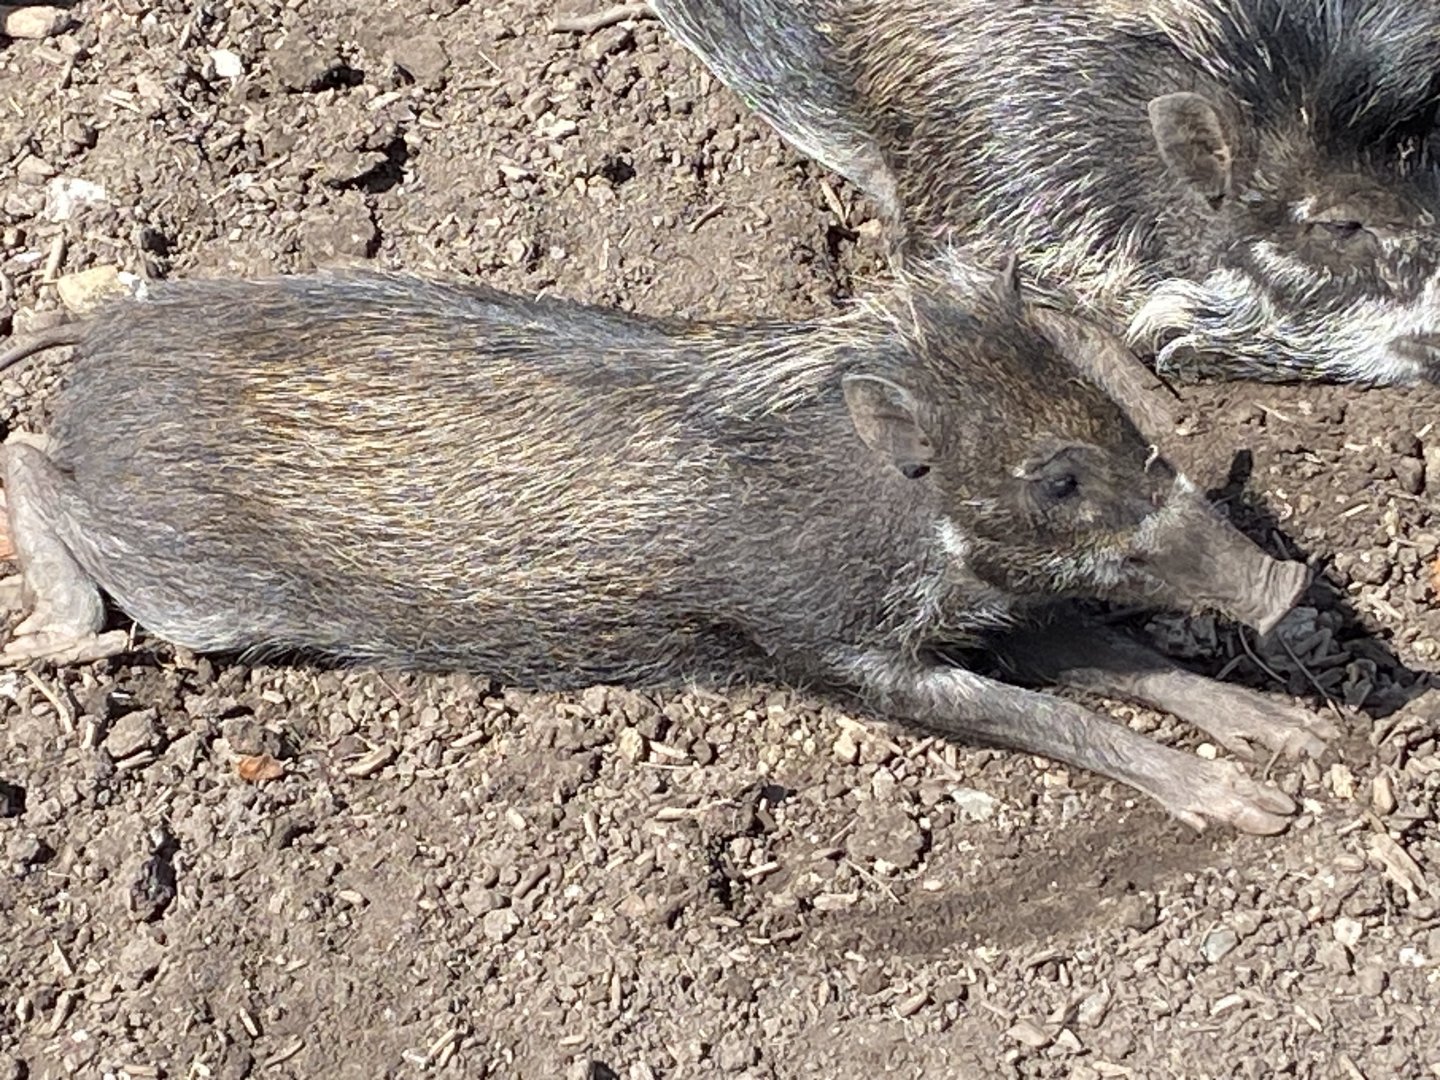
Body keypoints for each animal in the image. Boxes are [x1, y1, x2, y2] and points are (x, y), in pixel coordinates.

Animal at [0, 267, 1334, 832]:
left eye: (1118, 423)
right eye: (1056, 478)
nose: (1284, 580)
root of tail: (108, 344)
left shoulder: (990, 603)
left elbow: (1118, 657)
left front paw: (1297, 742)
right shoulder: (835, 651)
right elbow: (1056, 716)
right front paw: (1258, 816)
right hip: (186, 578)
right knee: (29, 464)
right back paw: (60, 642)